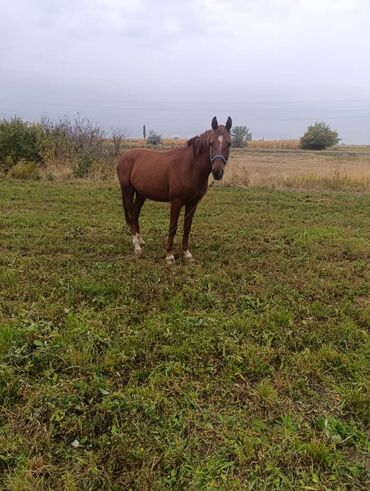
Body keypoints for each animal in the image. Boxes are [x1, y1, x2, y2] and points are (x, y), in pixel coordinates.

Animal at [116, 117, 231, 264]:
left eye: (229, 143)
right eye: (211, 143)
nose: (217, 172)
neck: (191, 166)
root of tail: (123, 157)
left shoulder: (193, 203)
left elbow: (187, 227)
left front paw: (187, 253)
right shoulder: (176, 202)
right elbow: (173, 226)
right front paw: (169, 255)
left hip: (141, 194)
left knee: (135, 214)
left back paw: (140, 241)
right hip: (128, 191)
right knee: (131, 214)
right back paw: (137, 247)